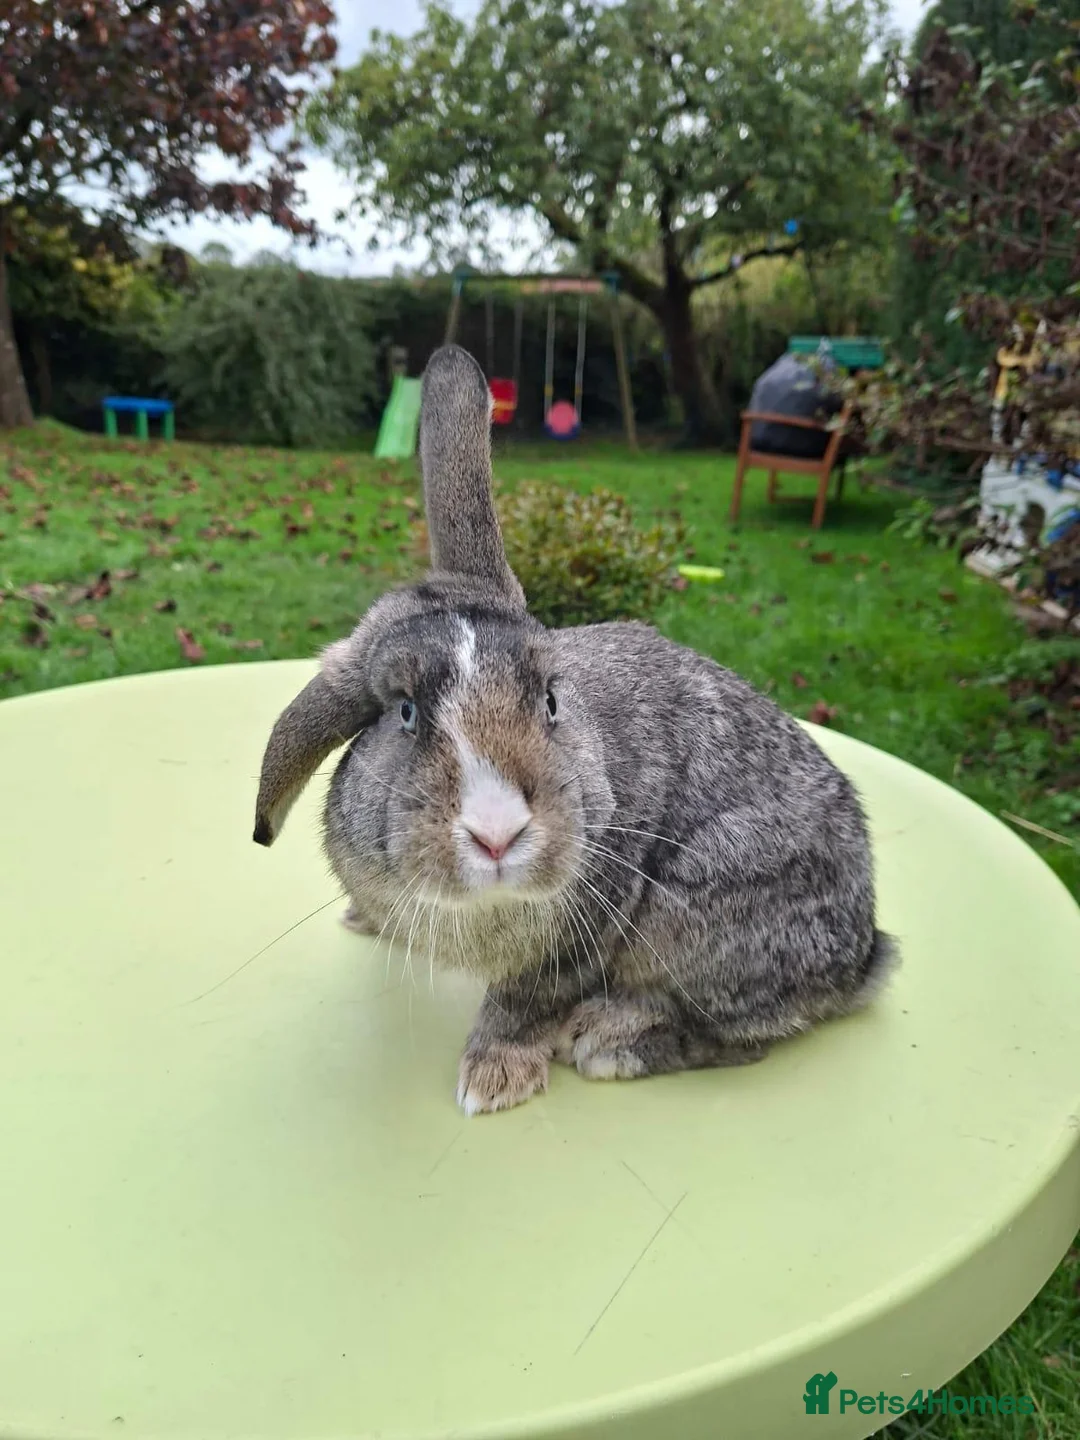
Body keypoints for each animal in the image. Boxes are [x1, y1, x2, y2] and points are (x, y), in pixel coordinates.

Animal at [253, 344, 897, 1115]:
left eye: (551, 700)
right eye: (404, 712)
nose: (497, 833)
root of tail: (864, 955)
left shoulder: (580, 933)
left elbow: (524, 1003)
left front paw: (492, 1082)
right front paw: (365, 922)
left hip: (702, 915)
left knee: (740, 1037)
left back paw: (607, 1041)